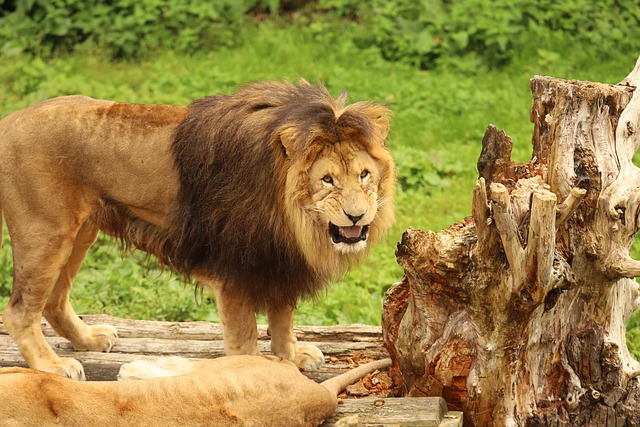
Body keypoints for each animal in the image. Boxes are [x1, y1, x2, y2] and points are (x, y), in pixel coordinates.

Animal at [0, 80, 395, 380]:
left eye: (364, 175)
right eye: (327, 180)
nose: (357, 217)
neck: (293, 217)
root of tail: (8, 121)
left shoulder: (277, 260)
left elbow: (282, 318)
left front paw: (292, 355)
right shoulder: (237, 271)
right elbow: (244, 337)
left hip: (79, 232)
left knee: (53, 300)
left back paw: (89, 340)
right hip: (44, 234)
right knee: (20, 312)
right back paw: (52, 366)